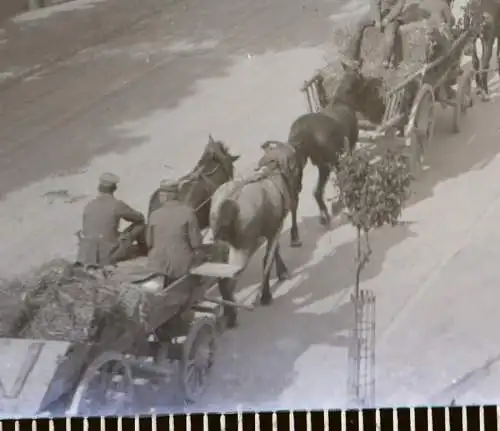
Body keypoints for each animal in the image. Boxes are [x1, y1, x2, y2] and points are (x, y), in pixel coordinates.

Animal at [209, 142, 302, 328]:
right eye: (296, 166)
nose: (298, 188)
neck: (274, 171)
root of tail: (229, 201)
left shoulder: (272, 227)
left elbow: (273, 252)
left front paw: (281, 272)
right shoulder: (274, 229)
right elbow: (267, 259)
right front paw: (266, 295)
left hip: (220, 246)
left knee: (222, 277)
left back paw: (227, 312)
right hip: (243, 248)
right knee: (229, 279)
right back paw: (232, 315)